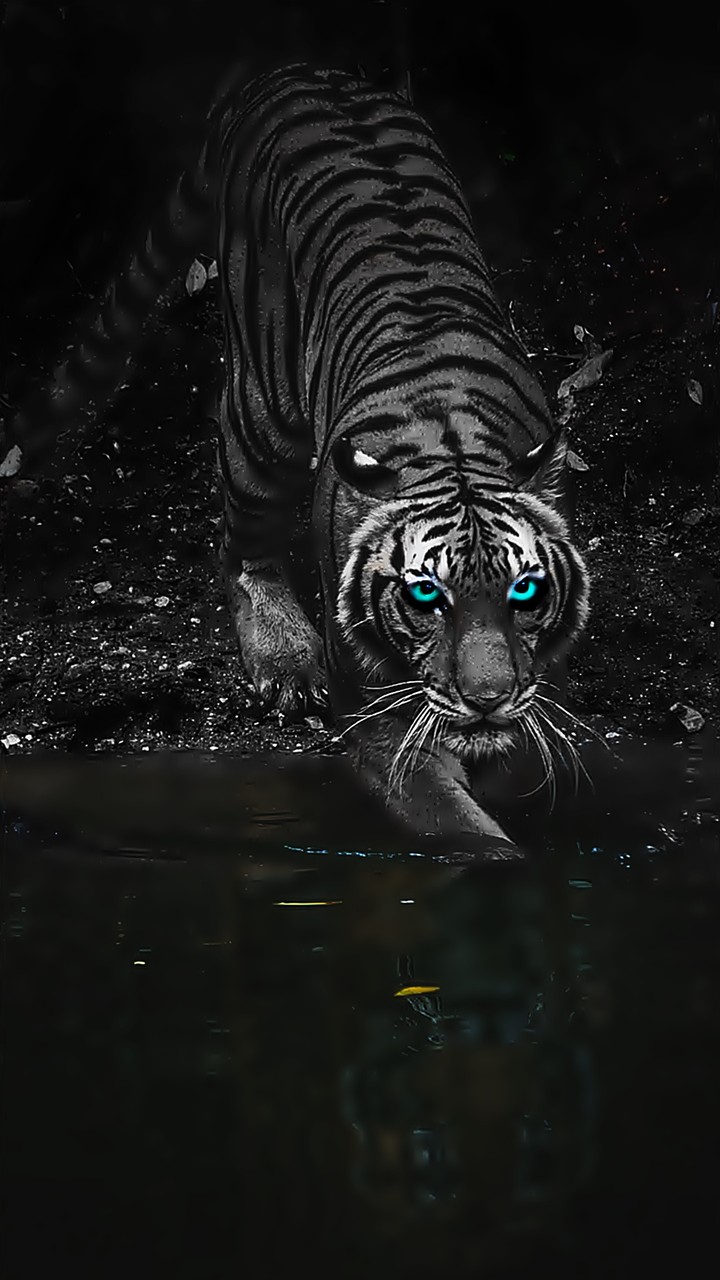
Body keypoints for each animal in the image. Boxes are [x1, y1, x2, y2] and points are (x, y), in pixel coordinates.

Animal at [1, 63, 590, 859]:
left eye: (524, 590)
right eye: (424, 596)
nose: (487, 699)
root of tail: (290, 69)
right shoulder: (385, 723)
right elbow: (461, 828)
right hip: (261, 415)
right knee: (239, 546)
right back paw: (282, 657)